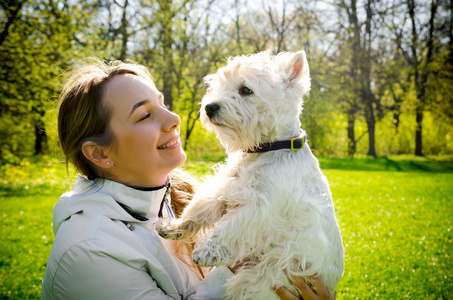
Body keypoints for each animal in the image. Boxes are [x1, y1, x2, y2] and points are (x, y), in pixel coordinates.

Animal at [155, 50, 342, 298]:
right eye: (219, 85)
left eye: (246, 90)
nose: (209, 107)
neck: (265, 149)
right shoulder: (224, 190)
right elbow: (197, 210)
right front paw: (173, 227)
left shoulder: (259, 206)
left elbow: (230, 227)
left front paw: (206, 251)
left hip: (264, 278)